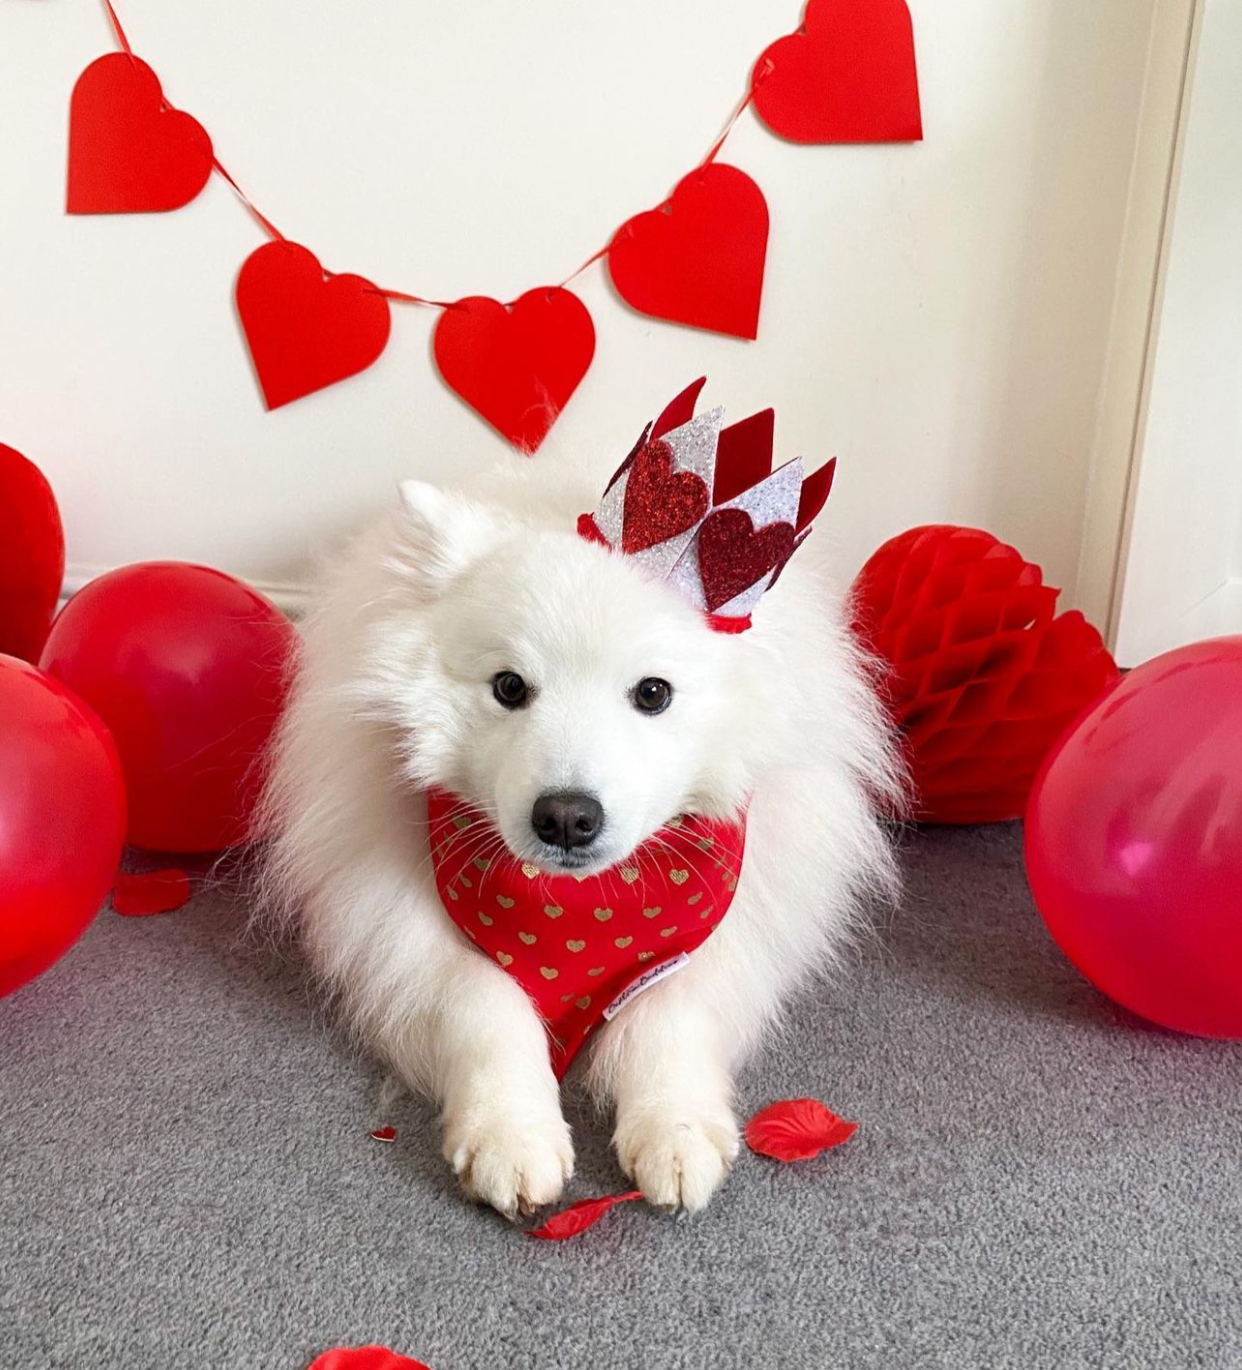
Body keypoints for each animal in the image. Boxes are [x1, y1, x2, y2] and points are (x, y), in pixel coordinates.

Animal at [262, 408, 903, 1222]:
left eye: (654, 693)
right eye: (509, 686)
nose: (566, 818)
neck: (579, 913)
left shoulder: (709, 935)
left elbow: (667, 1018)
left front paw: (674, 1130)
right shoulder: (413, 934)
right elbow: (485, 1006)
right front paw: (511, 1134)